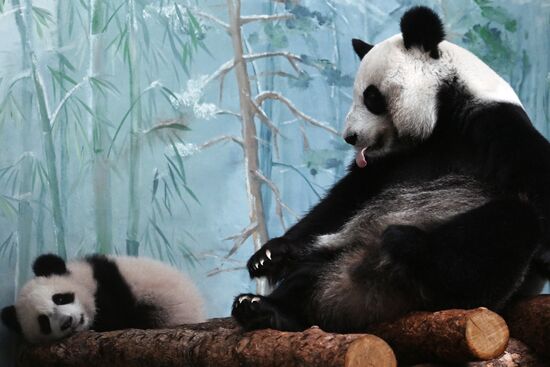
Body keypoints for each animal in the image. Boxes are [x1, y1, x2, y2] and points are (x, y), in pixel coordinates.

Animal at [233, 5, 550, 334]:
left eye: (371, 96)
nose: (350, 137)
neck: (443, 114)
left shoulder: (496, 127)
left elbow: (538, 186)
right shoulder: (387, 163)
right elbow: (342, 202)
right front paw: (269, 255)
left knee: (511, 223)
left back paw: (409, 246)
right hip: (337, 257)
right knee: (308, 272)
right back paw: (265, 308)